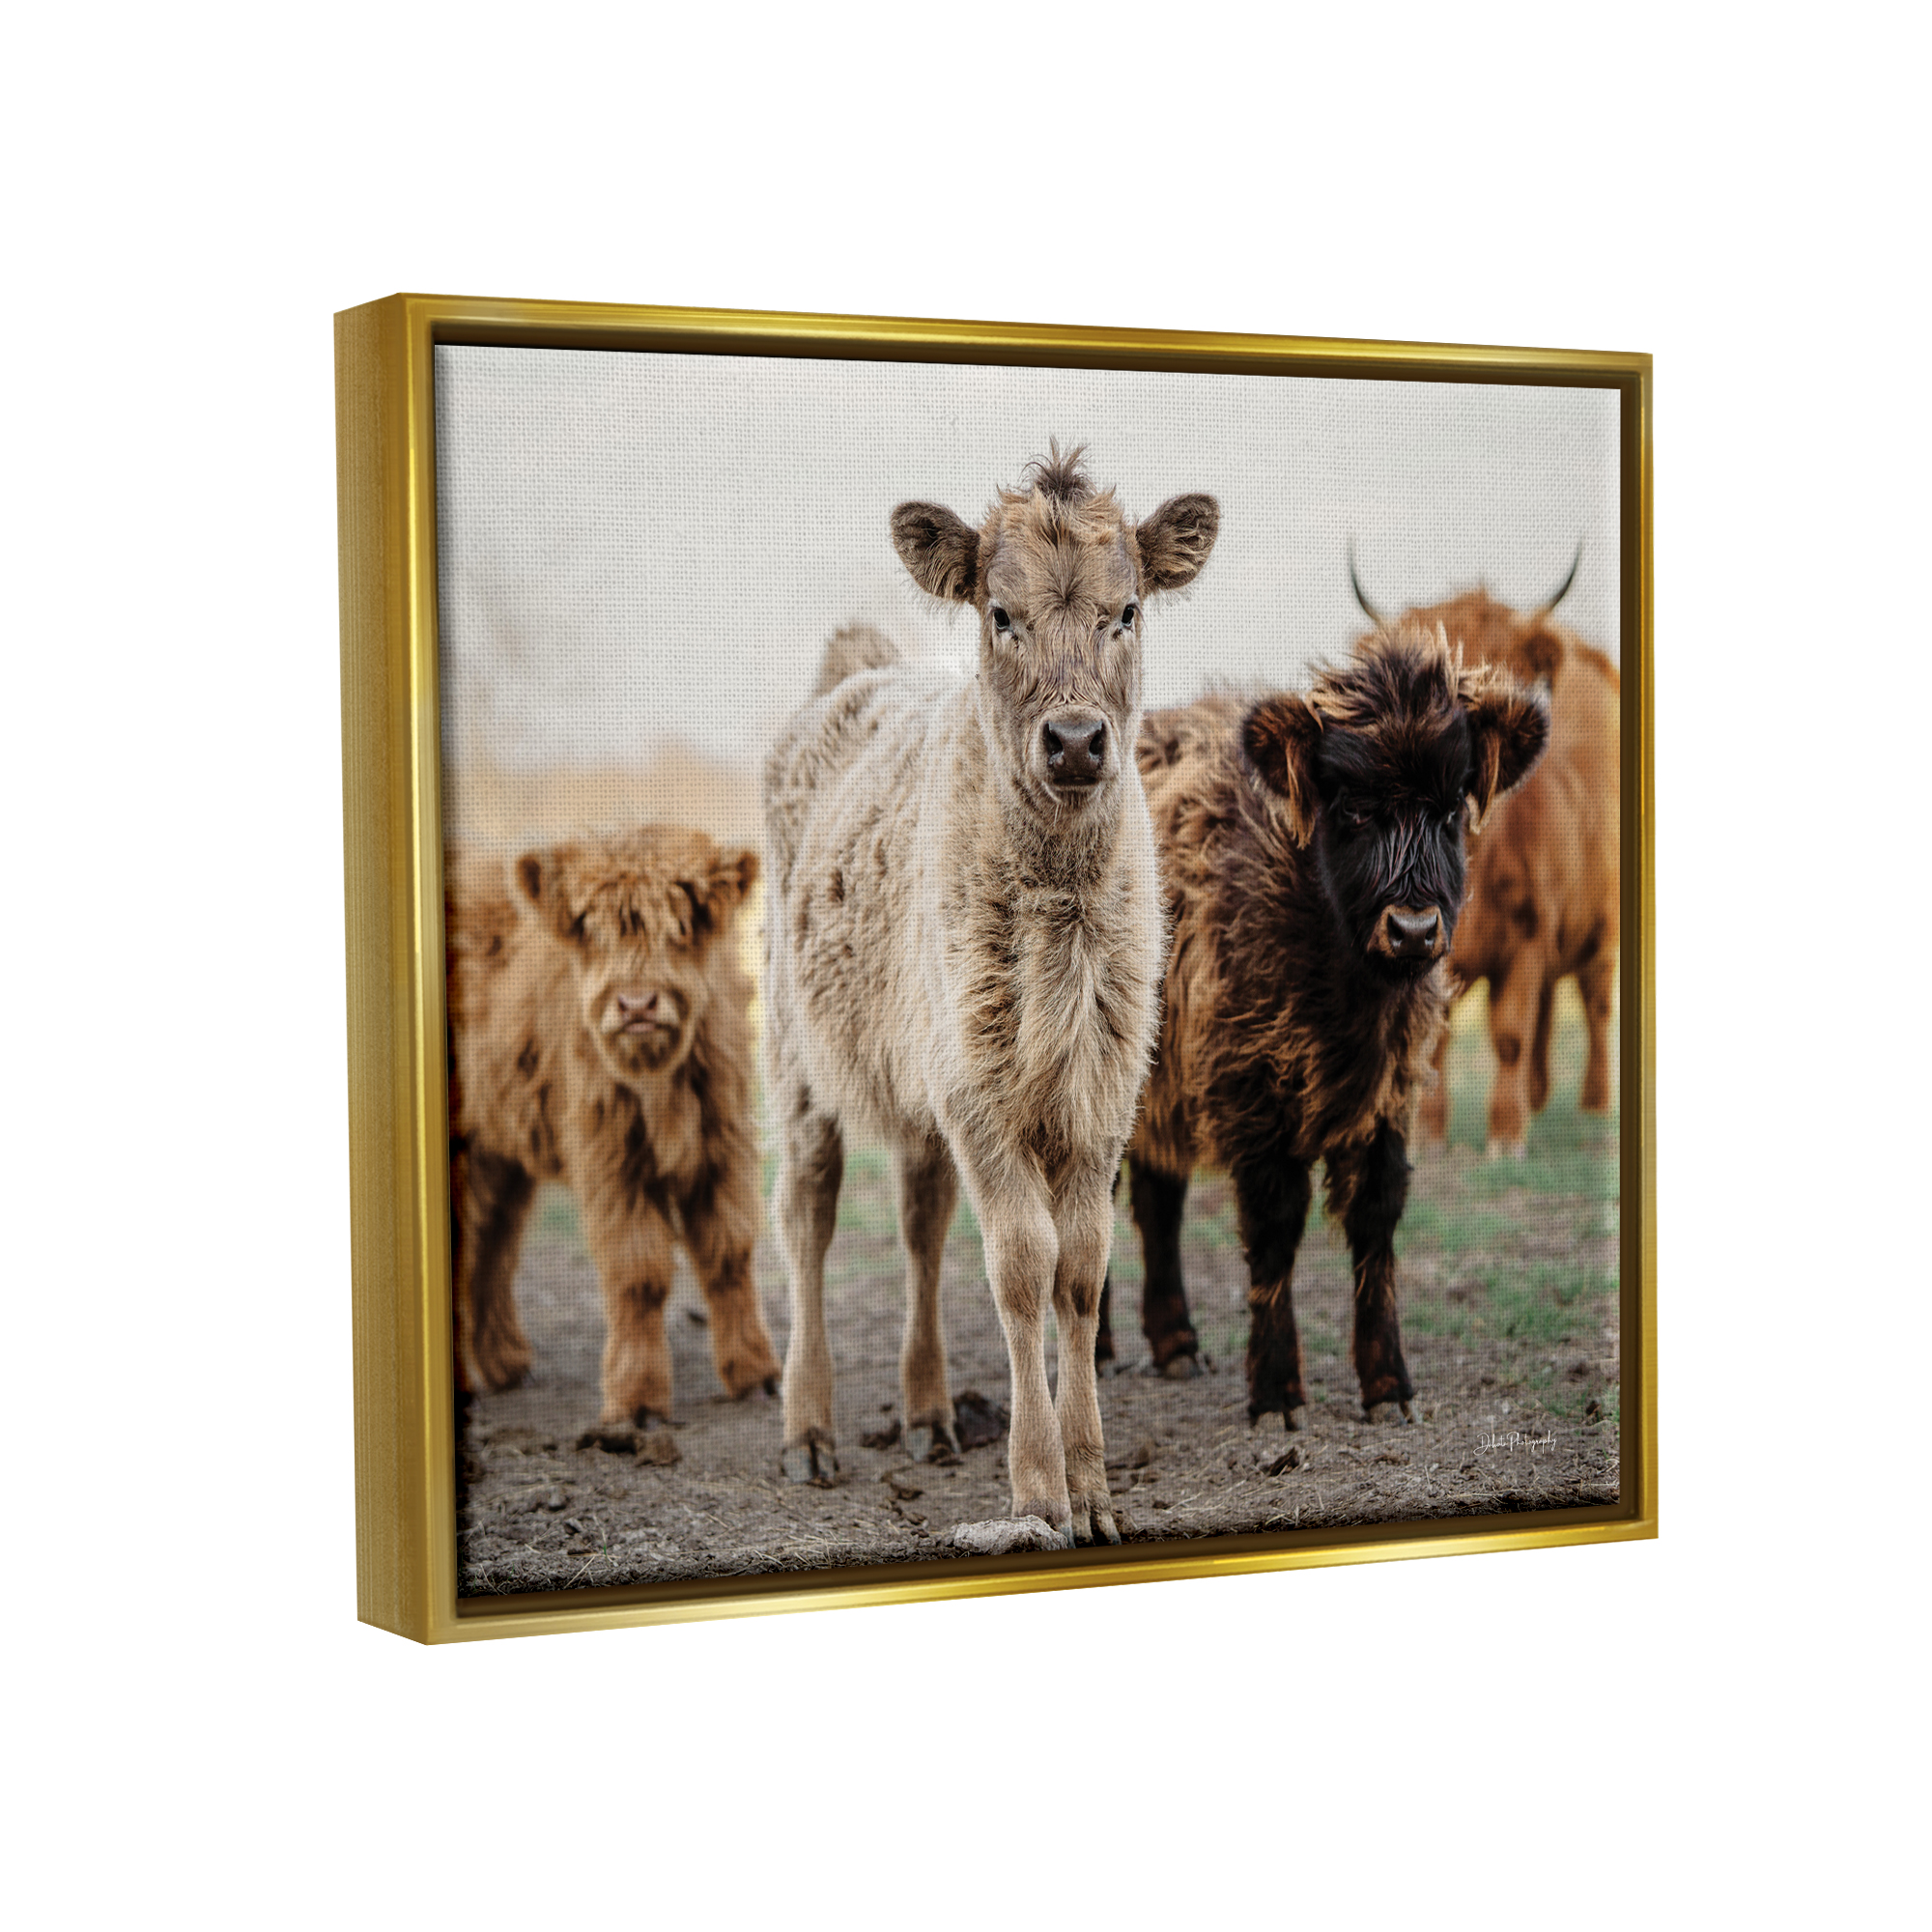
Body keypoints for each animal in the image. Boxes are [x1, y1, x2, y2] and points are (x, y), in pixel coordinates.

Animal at [445, 826, 781, 1446]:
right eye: (592, 931)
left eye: (679, 927)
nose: (636, 1004)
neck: (658, 1079)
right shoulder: (612, 1159)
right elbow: (638, 1274)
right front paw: (637, 1403)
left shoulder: (722, 1144)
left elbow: (728, 1251)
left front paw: (757, 1376)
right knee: (472, 1242)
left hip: (501, 1150)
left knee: (496, 1243)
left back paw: (507, 1364)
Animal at [762, 443, 1219, 1548]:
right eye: (999, 614)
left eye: (1126, 610)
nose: (1076, 740)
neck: (1061, 911)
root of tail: (858, 672)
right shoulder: (982, 1098)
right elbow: (1020, 1266)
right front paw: (1038, 1488)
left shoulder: (1100, 1091)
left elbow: (1081, 1269)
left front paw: (1093, 1486)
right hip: (798, 1061)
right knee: (807, 1218)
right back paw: (808, 1428)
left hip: (924, 1069)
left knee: (920, 1222)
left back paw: (929, 1412)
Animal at [1094, 619, 1549, 1425]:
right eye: (1353, 809)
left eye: (1449, 809)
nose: (1412, 929)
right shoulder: (1250, 1090)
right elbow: (1275, 1230)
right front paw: (1277, 1391)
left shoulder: (1390, 1091)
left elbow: (1376, 1218)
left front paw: (1388, 1384)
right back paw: (1093, 1352)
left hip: (1162, 1080)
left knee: (1158, 1197)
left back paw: (1175, 1344)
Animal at [1352, 554, 1621, 1154]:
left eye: (1499, 683)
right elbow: (1438, 1039)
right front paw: (1430, 1135)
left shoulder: (1530, 934)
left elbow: (1509, 1034)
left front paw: (1505, 1138)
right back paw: (1540, 1101)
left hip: (1601, 931)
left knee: (1594, 1006)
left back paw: (1593, 1108)